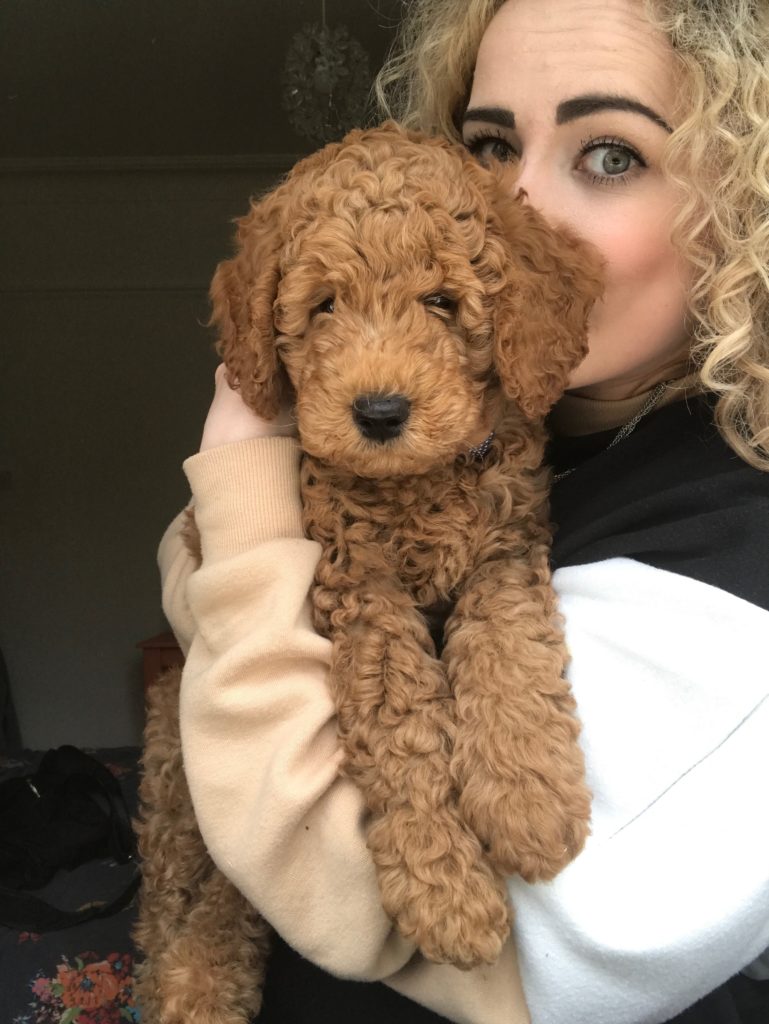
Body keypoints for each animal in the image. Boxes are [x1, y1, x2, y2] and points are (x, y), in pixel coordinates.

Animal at [134, 121, 602, 1024]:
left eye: (442, 302)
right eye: (323, 306)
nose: (379, 413)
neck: (417, 483)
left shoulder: (506, 547)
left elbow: (509, 647)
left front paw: (528, 800)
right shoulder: (357, 589)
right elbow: (401, 723)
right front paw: (446, 894)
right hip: (173, 761)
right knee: (185, 889)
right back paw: (188, 980)